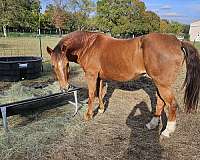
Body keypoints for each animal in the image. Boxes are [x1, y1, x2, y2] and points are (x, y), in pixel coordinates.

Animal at [47, 31, 200, 138]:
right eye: (53, 66)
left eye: (67, 65)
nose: (65, 88)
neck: (89, 45)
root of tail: (178, 42)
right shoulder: (99, 77)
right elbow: (99, 93)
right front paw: (101, 109)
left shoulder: (91, 75)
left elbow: (91, 94)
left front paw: (89, 115)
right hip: (160, 84)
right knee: (161, 102)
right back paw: (152, 124)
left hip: (163, 84)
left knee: (172, 104)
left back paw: (167, 131)